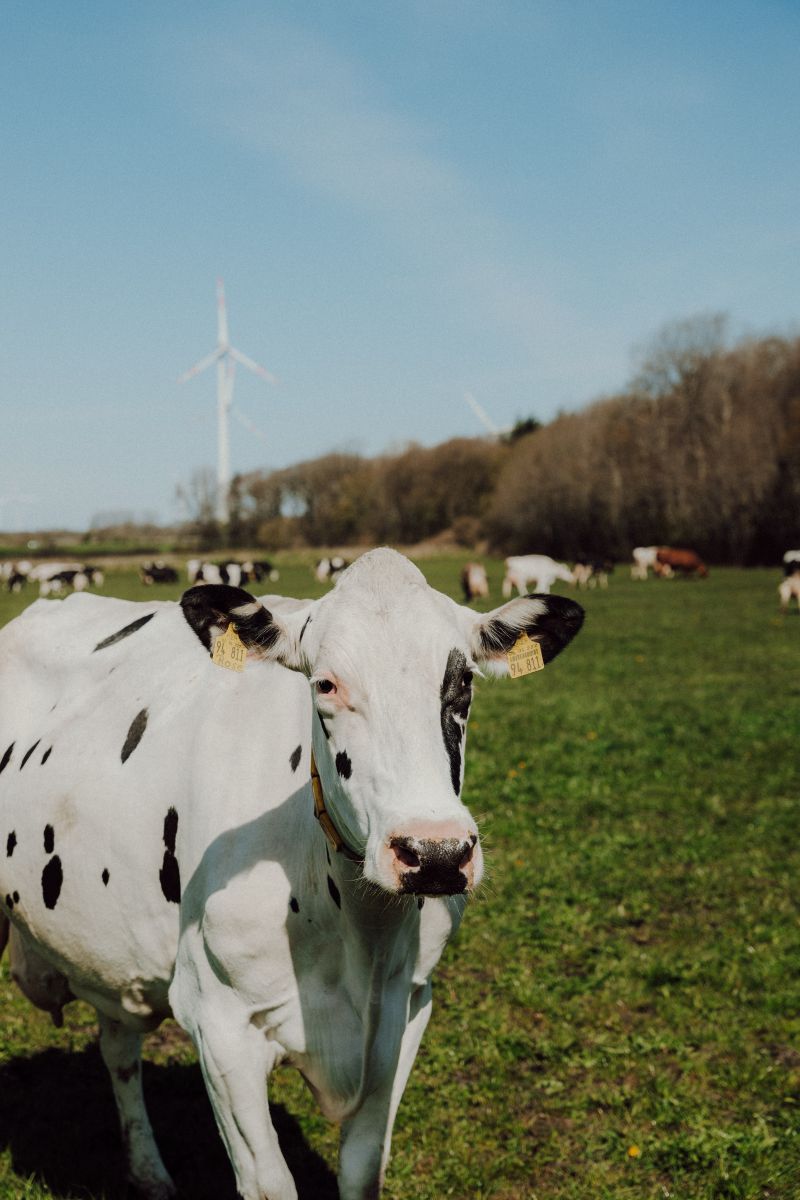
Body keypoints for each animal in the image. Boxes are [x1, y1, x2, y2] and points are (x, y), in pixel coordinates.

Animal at [0, 548, 583, 1200]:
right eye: (324, 683)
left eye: (463, 682)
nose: (434, 853)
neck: (361, 933)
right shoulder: (217, 1020)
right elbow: (270, 1183)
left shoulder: (409, 1004)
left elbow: (362, 1168)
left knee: (119, 1046)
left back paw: (151, 1174)